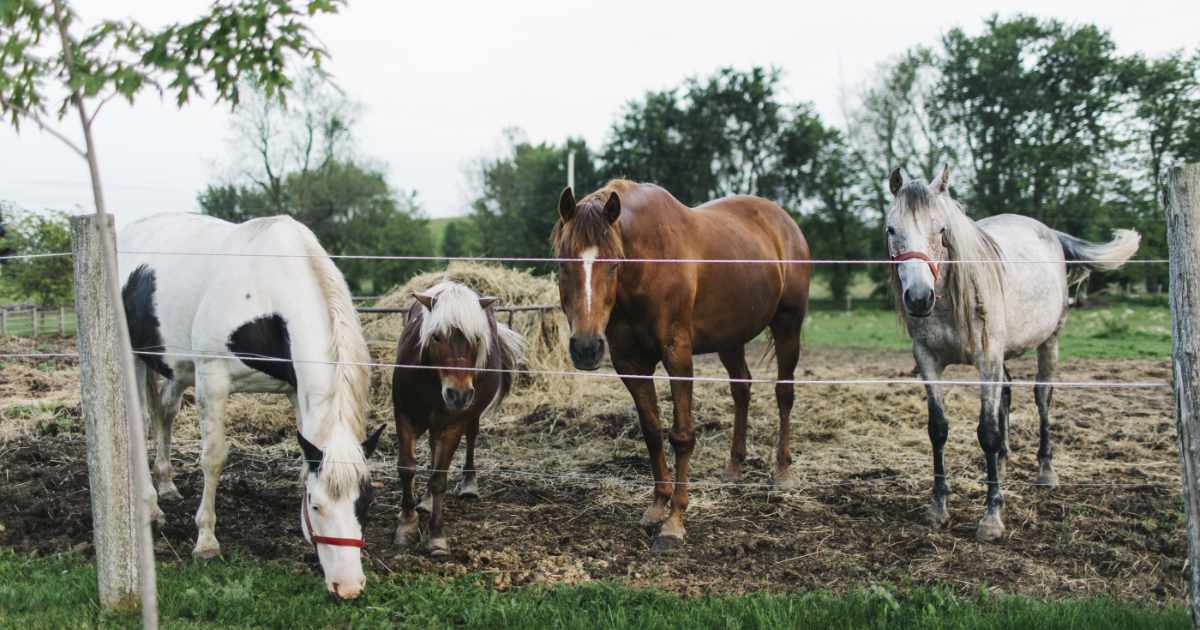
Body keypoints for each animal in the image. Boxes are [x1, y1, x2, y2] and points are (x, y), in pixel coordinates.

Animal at [119, 213, 384, 599]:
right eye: (316, 505)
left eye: (365, 502)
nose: (348, 587)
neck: (267, 293)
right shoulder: (212, 380)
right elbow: (213, 458)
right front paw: (206, 541)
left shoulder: (296, 391)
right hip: (135, 358)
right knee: (139, 423)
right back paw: (152, 507)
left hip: (176, 369)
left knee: (164, 412)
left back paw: (166, 485)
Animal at [391, 280, 524, 556]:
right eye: (436, 336)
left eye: (477, 338)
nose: (459, 394)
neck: (432, 379)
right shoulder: (404, 415)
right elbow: (407, 468)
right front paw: (406, 525)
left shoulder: (453, 425)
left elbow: (439, 478)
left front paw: (436, 537)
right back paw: (425, 502)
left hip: (467, 417)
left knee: (470, 437)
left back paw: (468, 485)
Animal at [552, 180, 812, 551]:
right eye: (562, 264)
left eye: (614, 264)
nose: (586, 348)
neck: (647, 263)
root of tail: (784, 222)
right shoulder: (630, 362)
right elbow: (651, 431)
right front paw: (657, 507)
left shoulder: (677, 354)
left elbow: (682, 437)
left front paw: (674, 523)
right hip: (730, 338)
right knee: (741, 389)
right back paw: (734, 468)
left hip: (788, 325)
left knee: (784, 394)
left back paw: (783, 472)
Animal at [885, 165, 1141, 542]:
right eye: (892, 229)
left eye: (941, 229)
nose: (918, 298)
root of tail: (1050, 233)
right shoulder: (928, 360)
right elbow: (938, 429)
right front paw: (938, 506)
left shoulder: (986, 360)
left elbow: (987, 432)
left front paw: (991, 517)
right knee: (1006, 394)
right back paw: (1004, 462)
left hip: (1049, 342)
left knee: (1042, 397)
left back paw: (1046, 471)